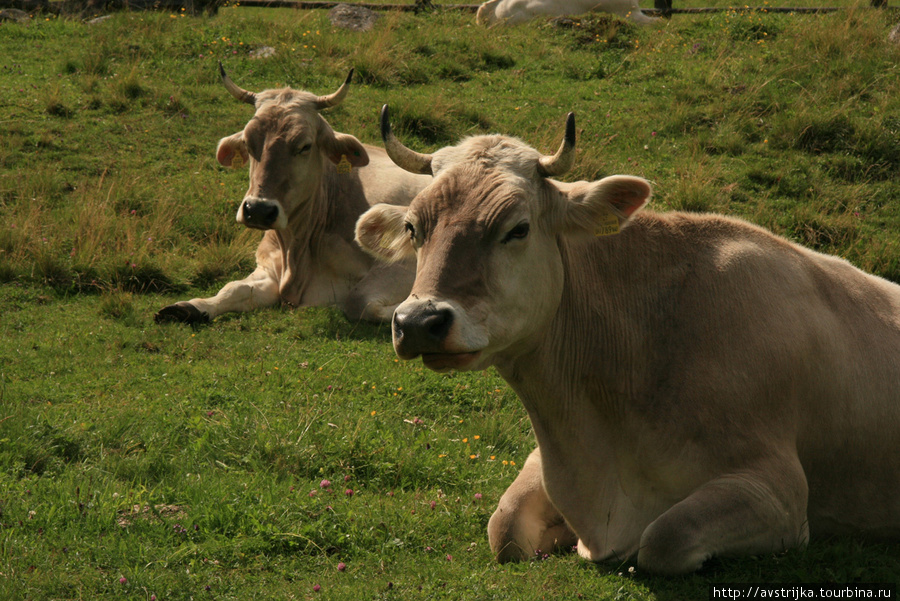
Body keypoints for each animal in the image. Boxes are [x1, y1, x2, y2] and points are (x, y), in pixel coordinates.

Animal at [153, 67, 430, 324]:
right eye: (248, 143)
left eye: (304, 146)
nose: (258, 210)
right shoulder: (268, 268)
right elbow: (233, 288)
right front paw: (191, 307)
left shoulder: (401, 264)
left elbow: (362, 302)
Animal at [356, 105, 900, 576]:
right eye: (413, 227)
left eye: (518, 229)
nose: (419, 321)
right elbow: (504, 528)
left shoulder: (778, 491)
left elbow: (664, 537)